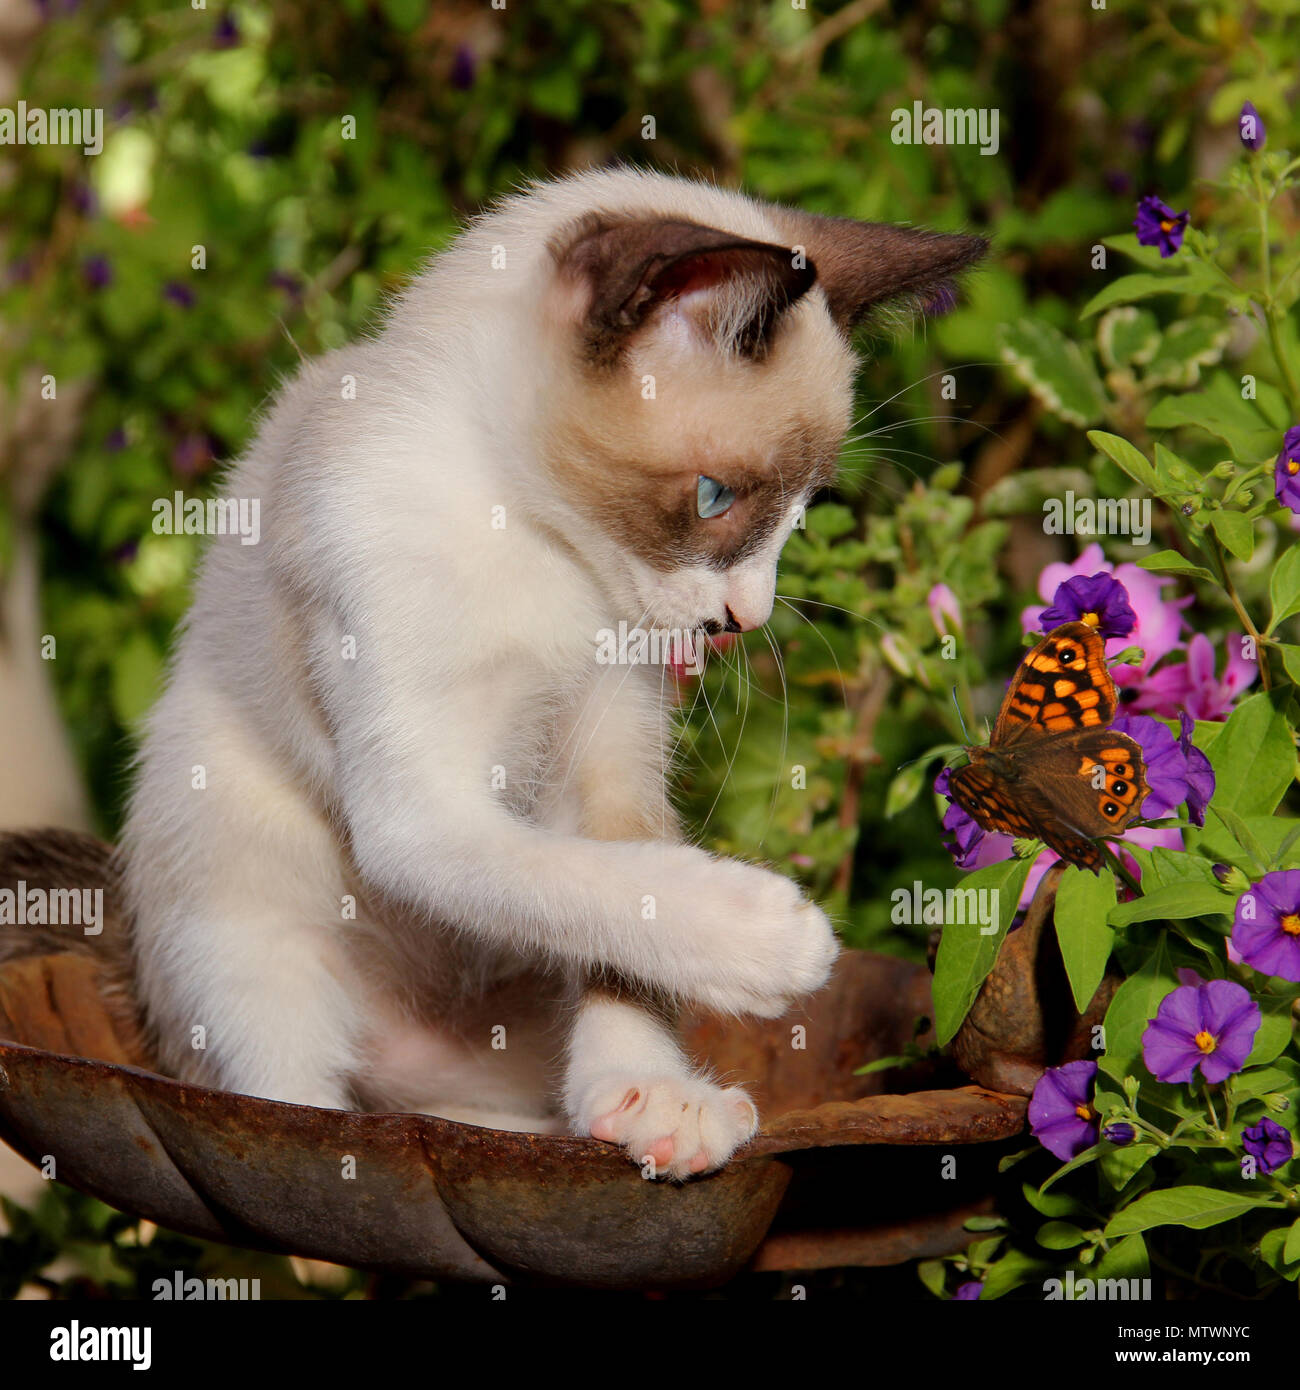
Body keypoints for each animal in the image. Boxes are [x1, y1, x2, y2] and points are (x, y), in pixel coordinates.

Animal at [93, 168, 984, 1178]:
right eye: (714, 497)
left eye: (802, 515)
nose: (745, 619)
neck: (536, 543)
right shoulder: (421, 813)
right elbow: (589, 882)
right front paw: (772, 939)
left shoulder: (607, 752)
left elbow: (621, 904)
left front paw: (655, 1098)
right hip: (247, 937)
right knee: (292, 1095)